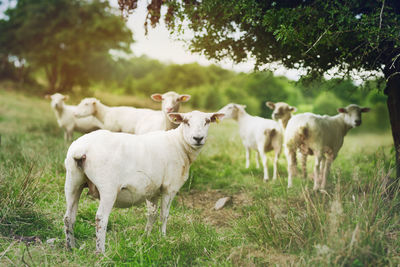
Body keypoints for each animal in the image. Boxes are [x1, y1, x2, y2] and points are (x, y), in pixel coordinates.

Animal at [63, 110, 223, 253]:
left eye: (207, 121)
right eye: (186, 121)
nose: (198, 138)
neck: (179, 145)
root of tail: (81, 149)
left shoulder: (152, 190)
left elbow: (152, 215)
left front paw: (146, 237)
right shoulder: (169, 187)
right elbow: (164, 215)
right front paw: (163, 238)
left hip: (72, 181)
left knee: (68, 217)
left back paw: (71, 248)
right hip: (108, 187)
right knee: (101, 218)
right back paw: (101, 252)